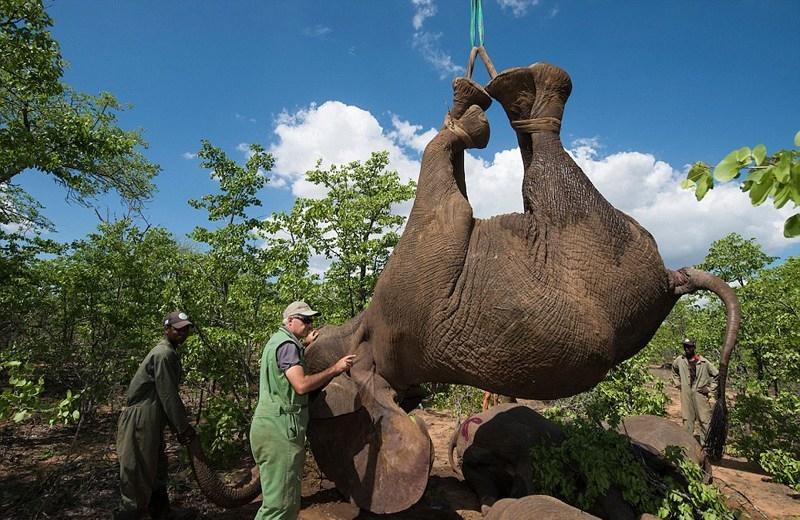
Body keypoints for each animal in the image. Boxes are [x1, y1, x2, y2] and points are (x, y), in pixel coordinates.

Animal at [184, 62, 740, 516]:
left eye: (315, 344)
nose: (315, 333)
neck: (368, 340)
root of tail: (674, 279)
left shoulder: (406, 284)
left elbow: (444, 174)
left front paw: (466, 112)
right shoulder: (415, 291)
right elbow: (446, 188)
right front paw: (470, 122)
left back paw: (513, 88)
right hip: (600, 242)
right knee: (548, 170)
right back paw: (528, 90)